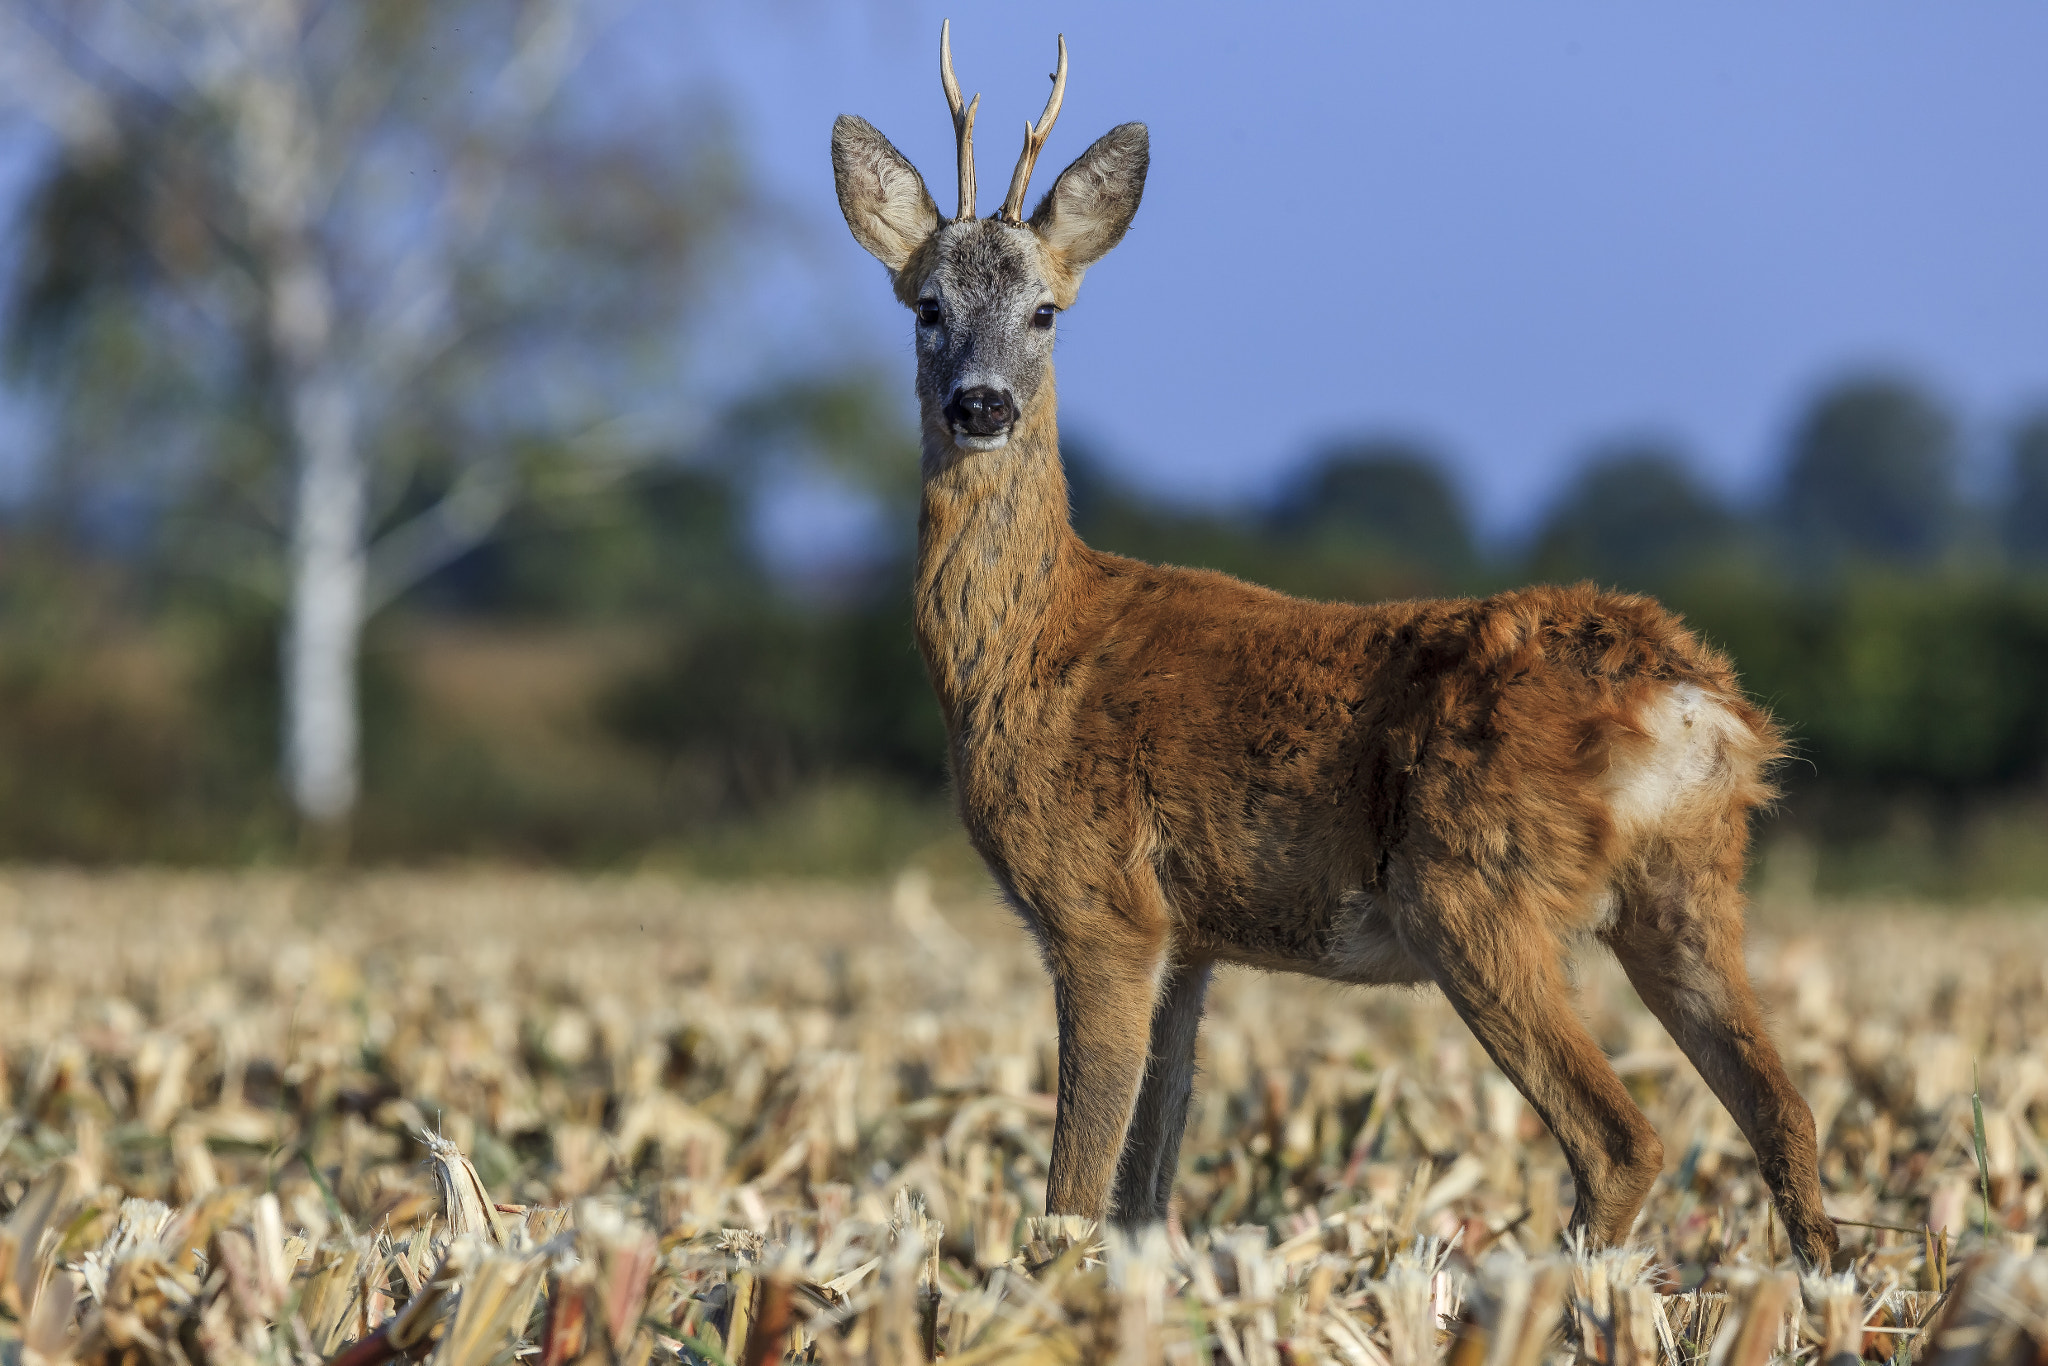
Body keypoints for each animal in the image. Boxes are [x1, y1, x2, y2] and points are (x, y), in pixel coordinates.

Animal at [829, 23, 1840, 1267]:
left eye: (1046, 311)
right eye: (924, 305)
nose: (980, 406)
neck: (1027, 650)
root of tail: (1702, 712)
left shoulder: (1098, 900)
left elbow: (1070, 1197)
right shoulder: (1190, 937)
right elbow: (1144, 1188)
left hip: (1471, 889)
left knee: (1622, 1137)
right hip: (1687, 891)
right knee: (1784, 1110)